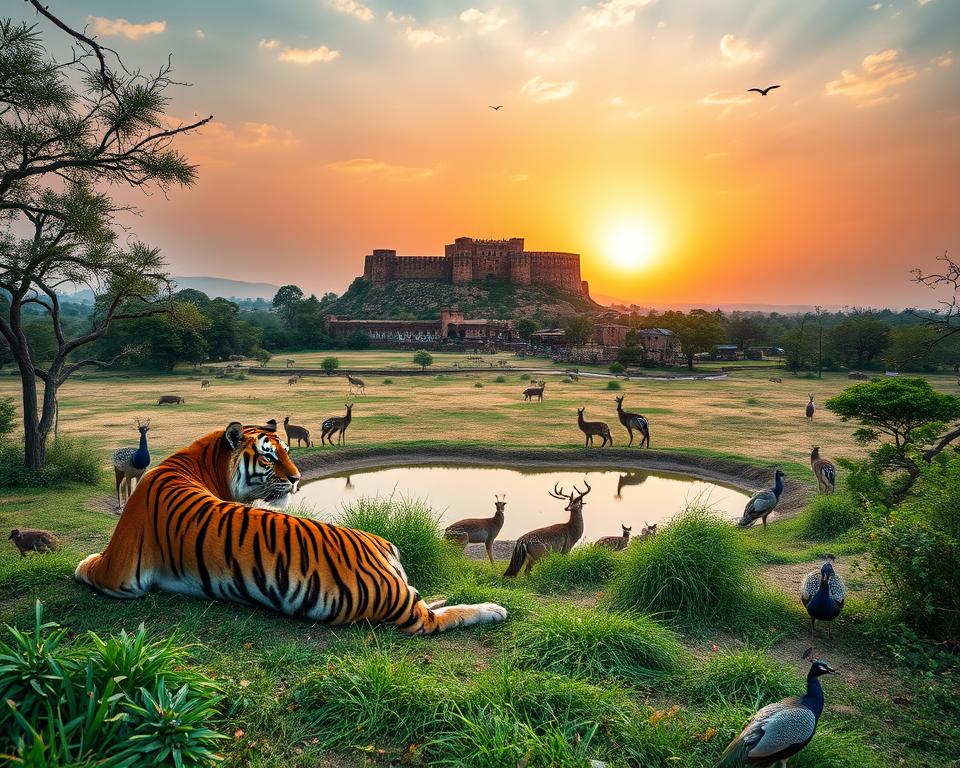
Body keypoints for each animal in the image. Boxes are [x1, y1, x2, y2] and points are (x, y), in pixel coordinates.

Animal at [75, 422, 507, 634]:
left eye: (287, 451)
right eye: (270, 457)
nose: (299, 479)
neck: (192, 461)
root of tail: (383, 545)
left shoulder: (118, 571)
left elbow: (84, 565)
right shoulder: (120, 571)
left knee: (436, 616)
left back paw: (493, 609)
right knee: (429, 606)